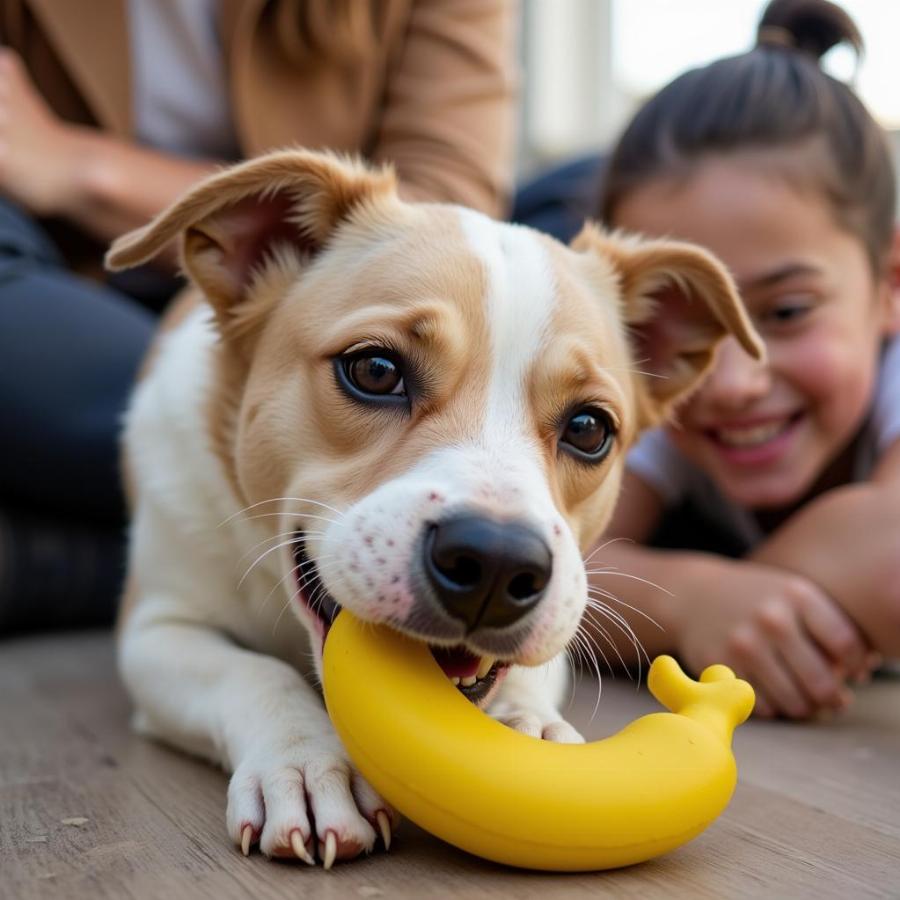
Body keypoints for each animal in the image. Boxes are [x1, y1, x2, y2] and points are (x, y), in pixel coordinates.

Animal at [105, 151, 764, 868]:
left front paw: (529, 726)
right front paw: (305, 762)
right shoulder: (156, 631)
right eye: (373, 370)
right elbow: (254, 673)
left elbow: (530, 677)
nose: (497, 565)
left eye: (590, 428)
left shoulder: (563, 612)